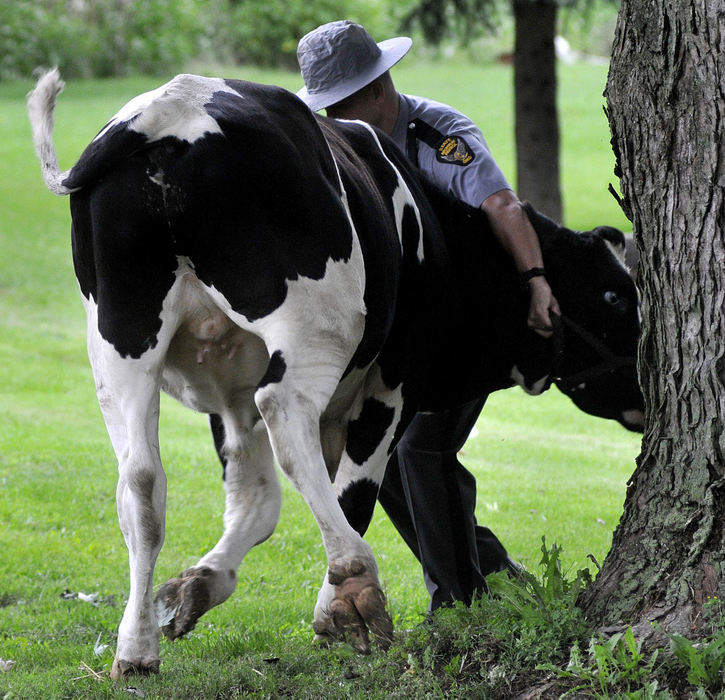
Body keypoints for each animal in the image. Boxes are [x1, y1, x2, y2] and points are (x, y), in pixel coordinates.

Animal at [26, 71, 640, 680]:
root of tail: (168, 108)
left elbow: (258, 502)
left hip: (121, 343)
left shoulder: (232, 392)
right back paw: (353, 578)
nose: (642, 385)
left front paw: (198, 587)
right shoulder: (394, 380)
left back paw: (136, 647)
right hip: (317, 326)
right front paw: (341, 603)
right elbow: (354, 490)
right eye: (616, 295)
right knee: (286, 412)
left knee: (141, 482)